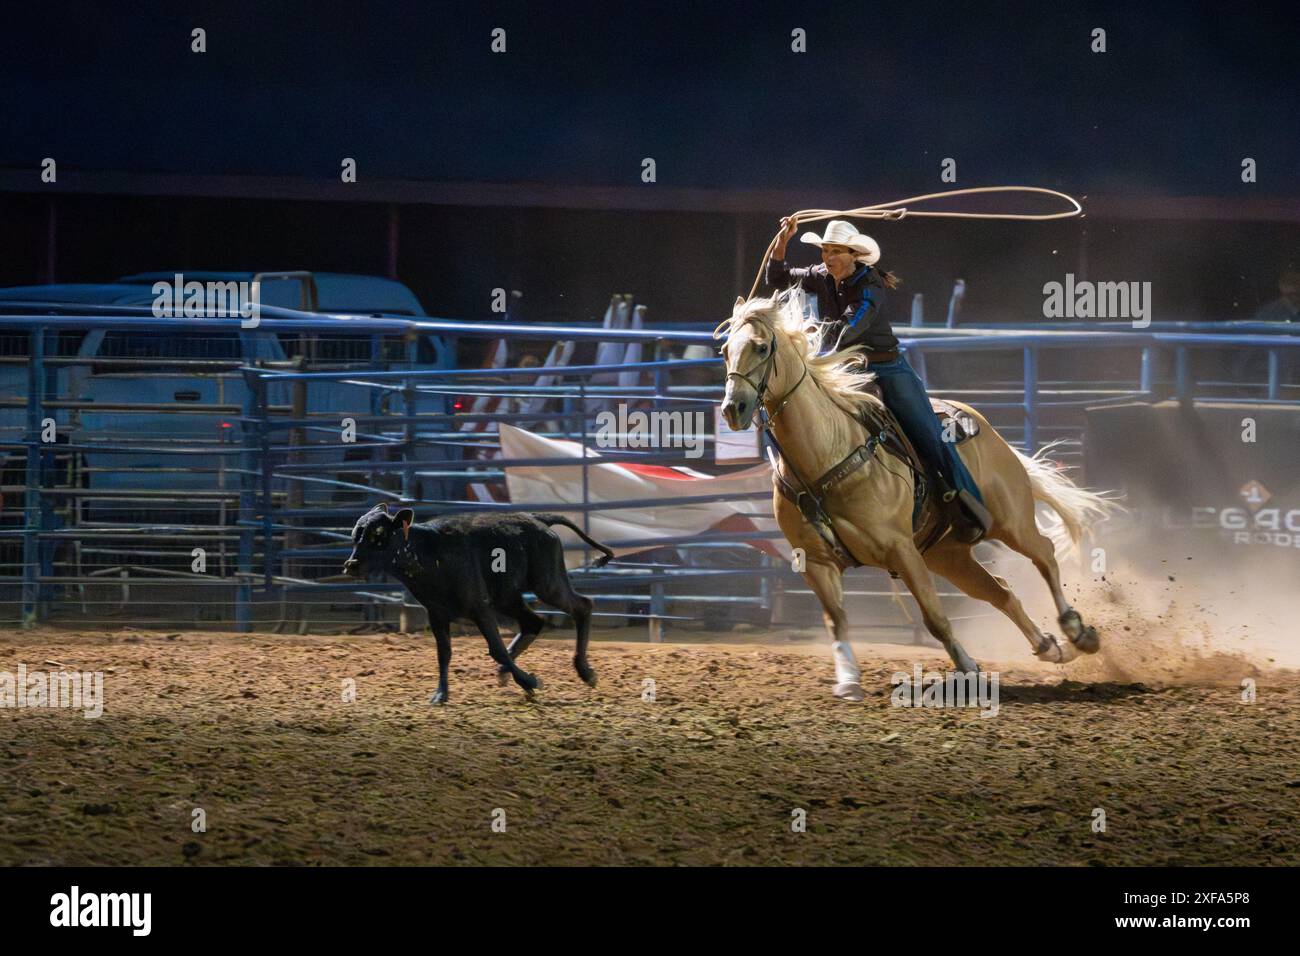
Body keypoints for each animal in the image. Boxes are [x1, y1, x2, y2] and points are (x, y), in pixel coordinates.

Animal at [342, 504, 614, 704]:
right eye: (356, 535)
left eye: (379, 534)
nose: (351, 565)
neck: (430, 554)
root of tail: (537, 518)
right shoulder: (436, 613)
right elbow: (444, 653)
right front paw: (440, 694)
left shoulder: (479, 607)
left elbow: (496, 649)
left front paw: (530, 681)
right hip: (508, 597)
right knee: (533, 622)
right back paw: (506, 673)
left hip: (547, 583)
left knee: (582, 606)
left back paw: (585, 672)